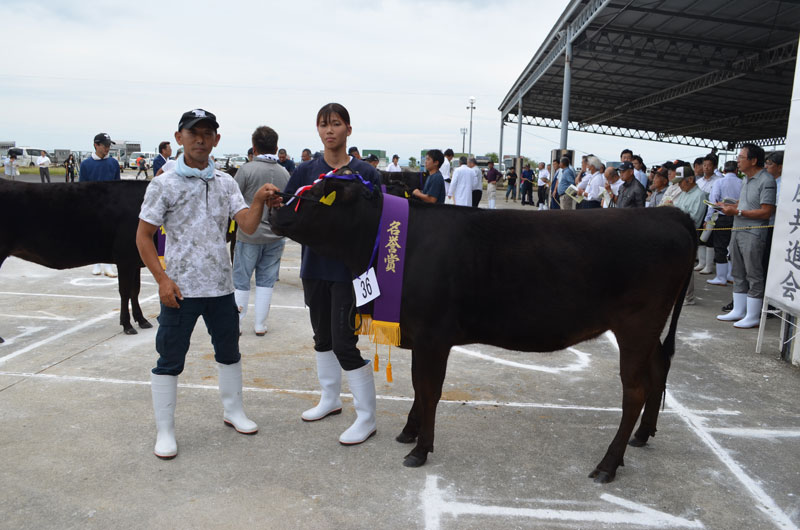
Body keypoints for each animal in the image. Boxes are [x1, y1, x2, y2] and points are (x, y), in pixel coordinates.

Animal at [0, 179, 153, 340]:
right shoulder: (125, 259)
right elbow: (125, 292)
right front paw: (127, 325)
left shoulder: (135, 261)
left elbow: (135, 290)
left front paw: (142, 320)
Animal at [272, 174, 696, 482]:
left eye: (314, 194)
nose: (274, 208)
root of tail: (670, 215)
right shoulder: (422, 335)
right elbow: (419, 387)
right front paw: (410, 432)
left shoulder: (433, 335)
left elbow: (429, 389)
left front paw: (420, 449)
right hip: (648, 332)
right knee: (659, 368)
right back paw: (642, 436)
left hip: (636, 326)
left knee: (634, 391)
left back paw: (608, 464)